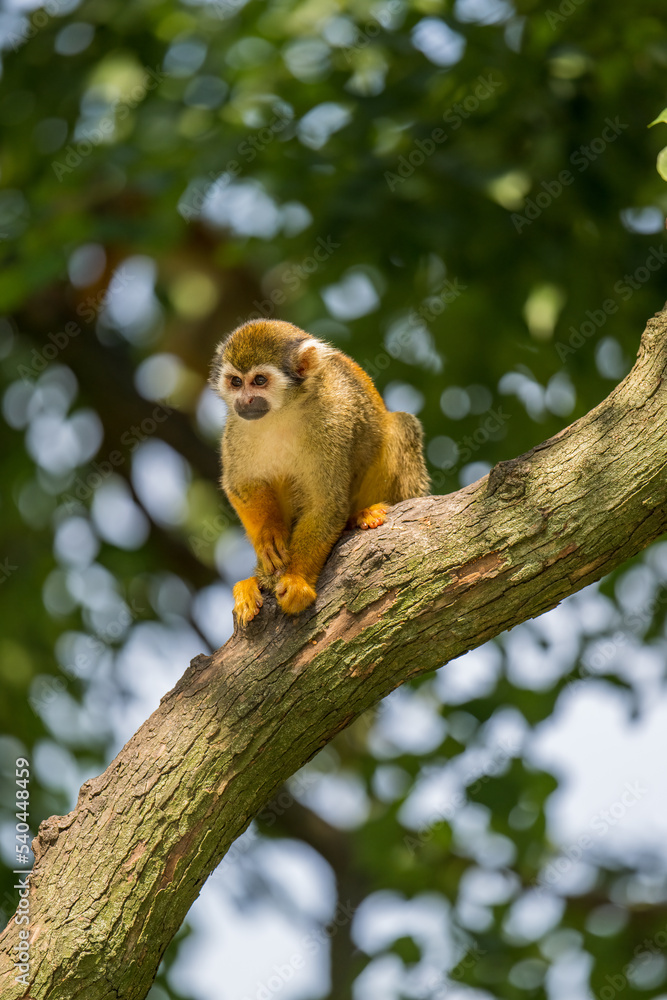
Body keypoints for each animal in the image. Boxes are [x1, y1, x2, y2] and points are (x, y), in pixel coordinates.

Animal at [210, 319, 429, 626]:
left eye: (260, 381)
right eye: (236, 382)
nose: (245, 401)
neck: (283, 411)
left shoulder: (331, 418)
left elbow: (326, 504)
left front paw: (296, 580)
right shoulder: (236, 427)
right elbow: (241, 485)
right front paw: (270, 534)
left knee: (401, 425)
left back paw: (361, 515)